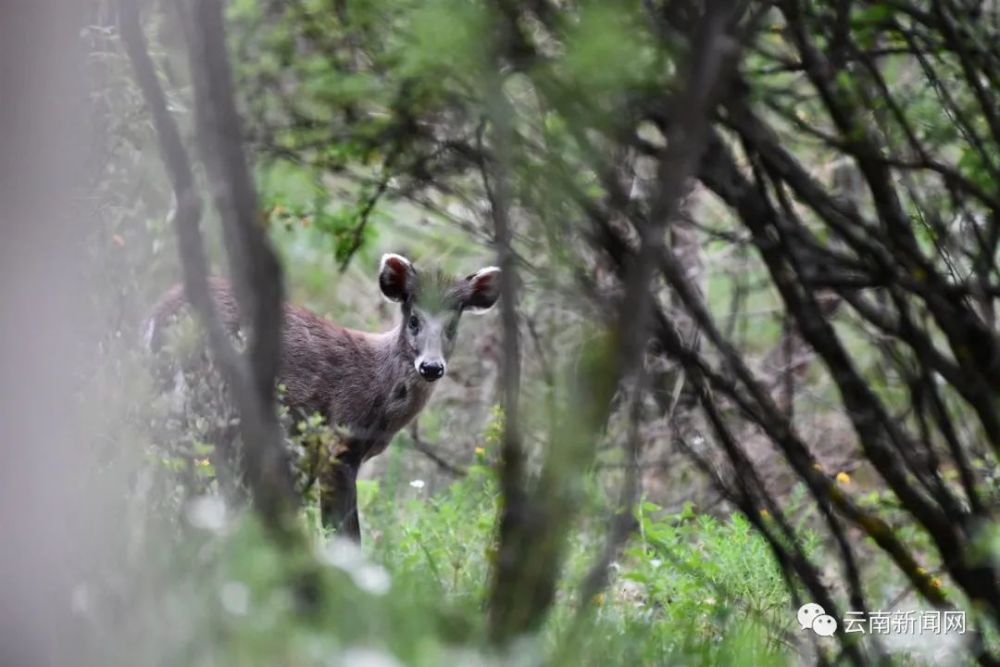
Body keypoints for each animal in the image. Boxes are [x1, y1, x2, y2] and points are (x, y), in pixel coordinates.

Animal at [145, 253, 500, 540]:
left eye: (453, 325)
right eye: (414, 320)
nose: (431, 366)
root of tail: (158, 316)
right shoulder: (337, 442)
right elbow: (345, 534)